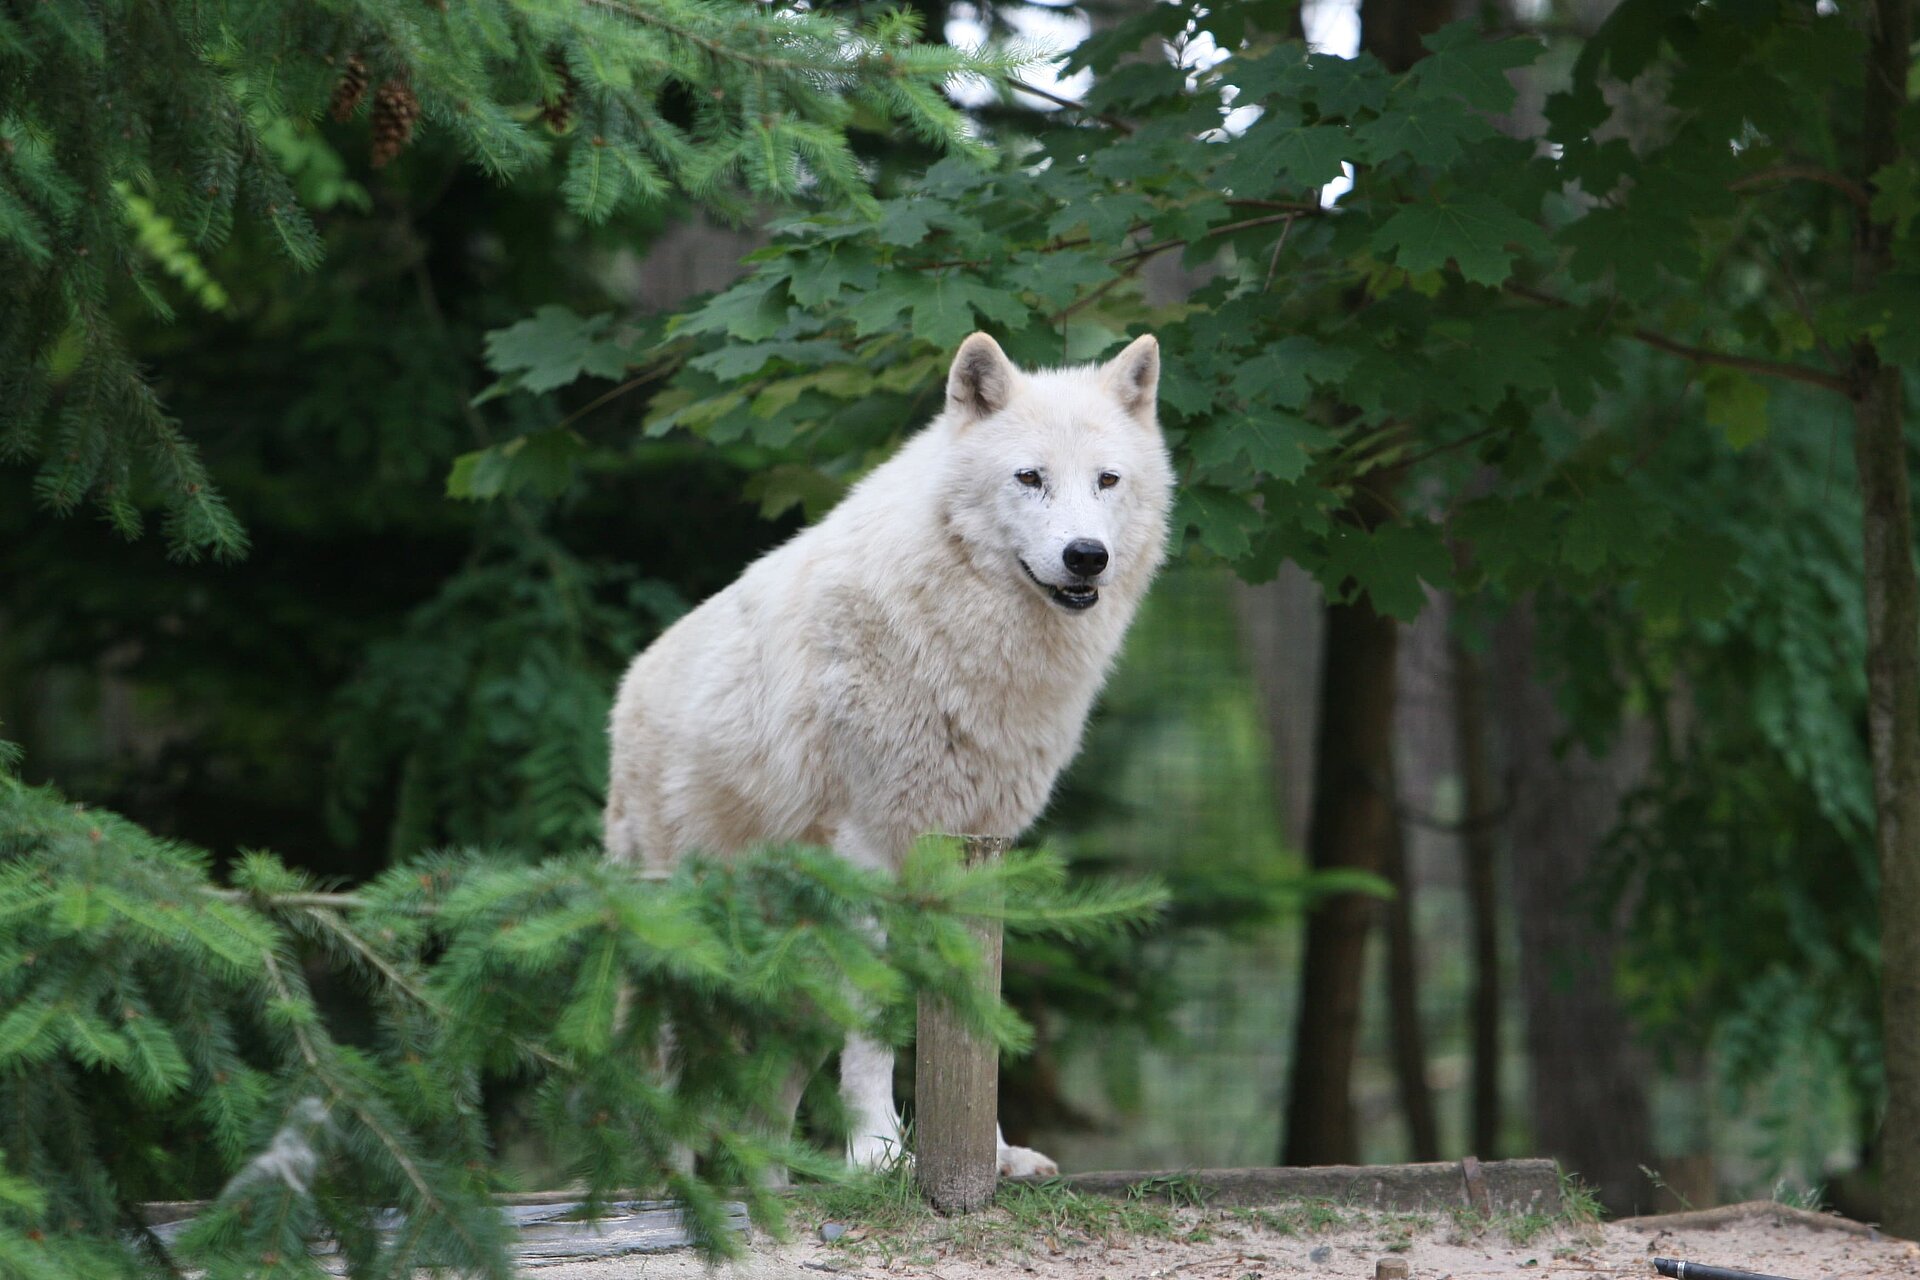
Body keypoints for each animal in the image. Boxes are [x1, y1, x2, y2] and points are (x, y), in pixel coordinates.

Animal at [602, 330, 1167, 1182]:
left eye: (1107, 480)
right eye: (1029, 477)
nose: (1086, 556)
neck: (962, 641)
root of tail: (626, 692)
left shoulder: (978, 851)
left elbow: (973, 1005)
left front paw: (991, 1155)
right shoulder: (868, 850)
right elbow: (870, 1025)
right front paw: (876, 1153)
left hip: (789, 993)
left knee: (760, 1113)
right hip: (682, 953)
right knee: (659, 1088)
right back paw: (663, 1191)